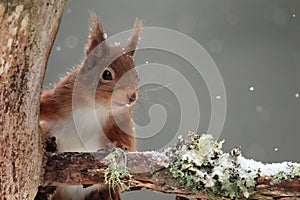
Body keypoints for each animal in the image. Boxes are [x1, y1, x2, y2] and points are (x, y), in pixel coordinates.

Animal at [39, 13, 142, 199]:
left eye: (137, 77)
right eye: (107, 74)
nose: (132, 97)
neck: (95, 107)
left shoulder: (122, 124)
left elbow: (129, 146)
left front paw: (117, 146)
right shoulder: (58, 101)